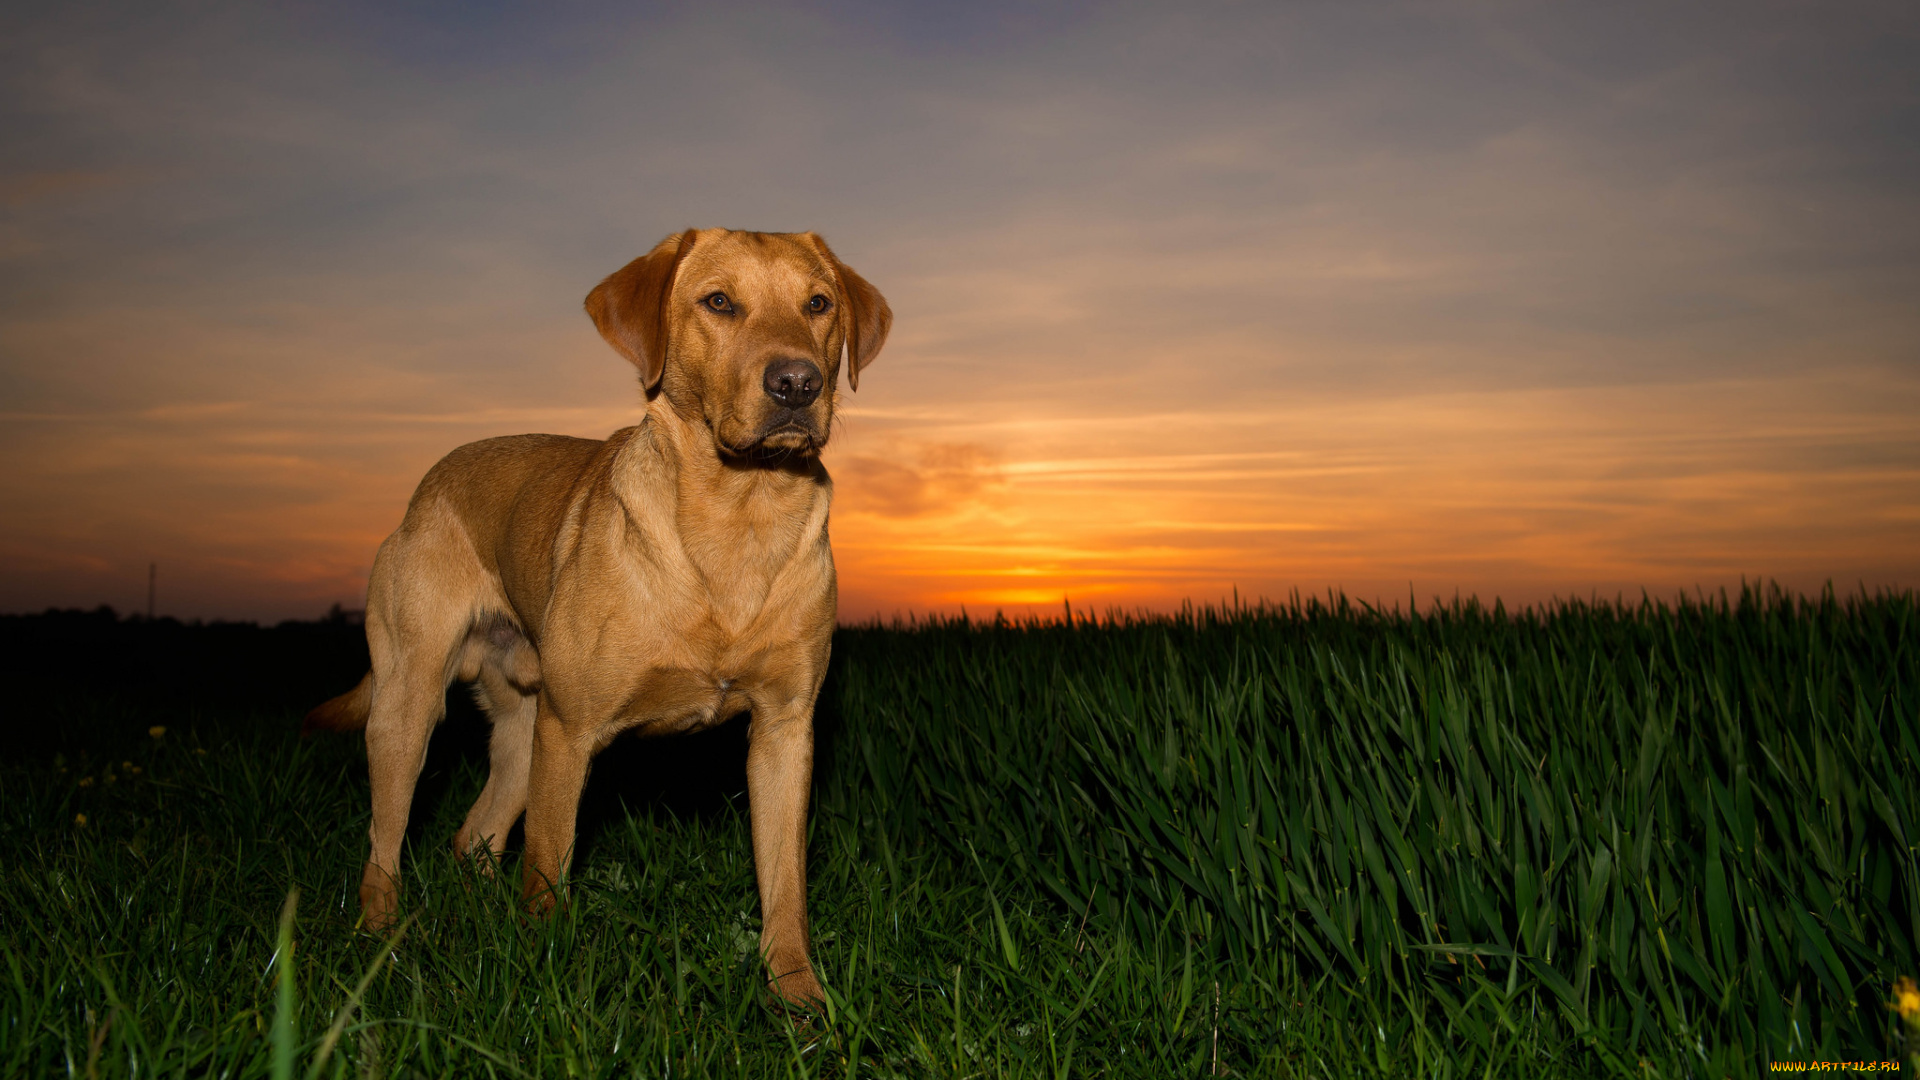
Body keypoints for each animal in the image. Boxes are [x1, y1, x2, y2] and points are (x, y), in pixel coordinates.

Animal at [305, 224, 890, 999]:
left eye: (818, 303)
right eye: (719, 302)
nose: (797, 383)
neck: (740, 518)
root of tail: (429, 481)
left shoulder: (784, 731)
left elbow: (785, 887)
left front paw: (799, 1002)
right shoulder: (572, 732)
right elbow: (548, 868)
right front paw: (546, 981)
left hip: (522, 732)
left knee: (473, 836)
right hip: (412, 709)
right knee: (384, 846)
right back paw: (380, 947)